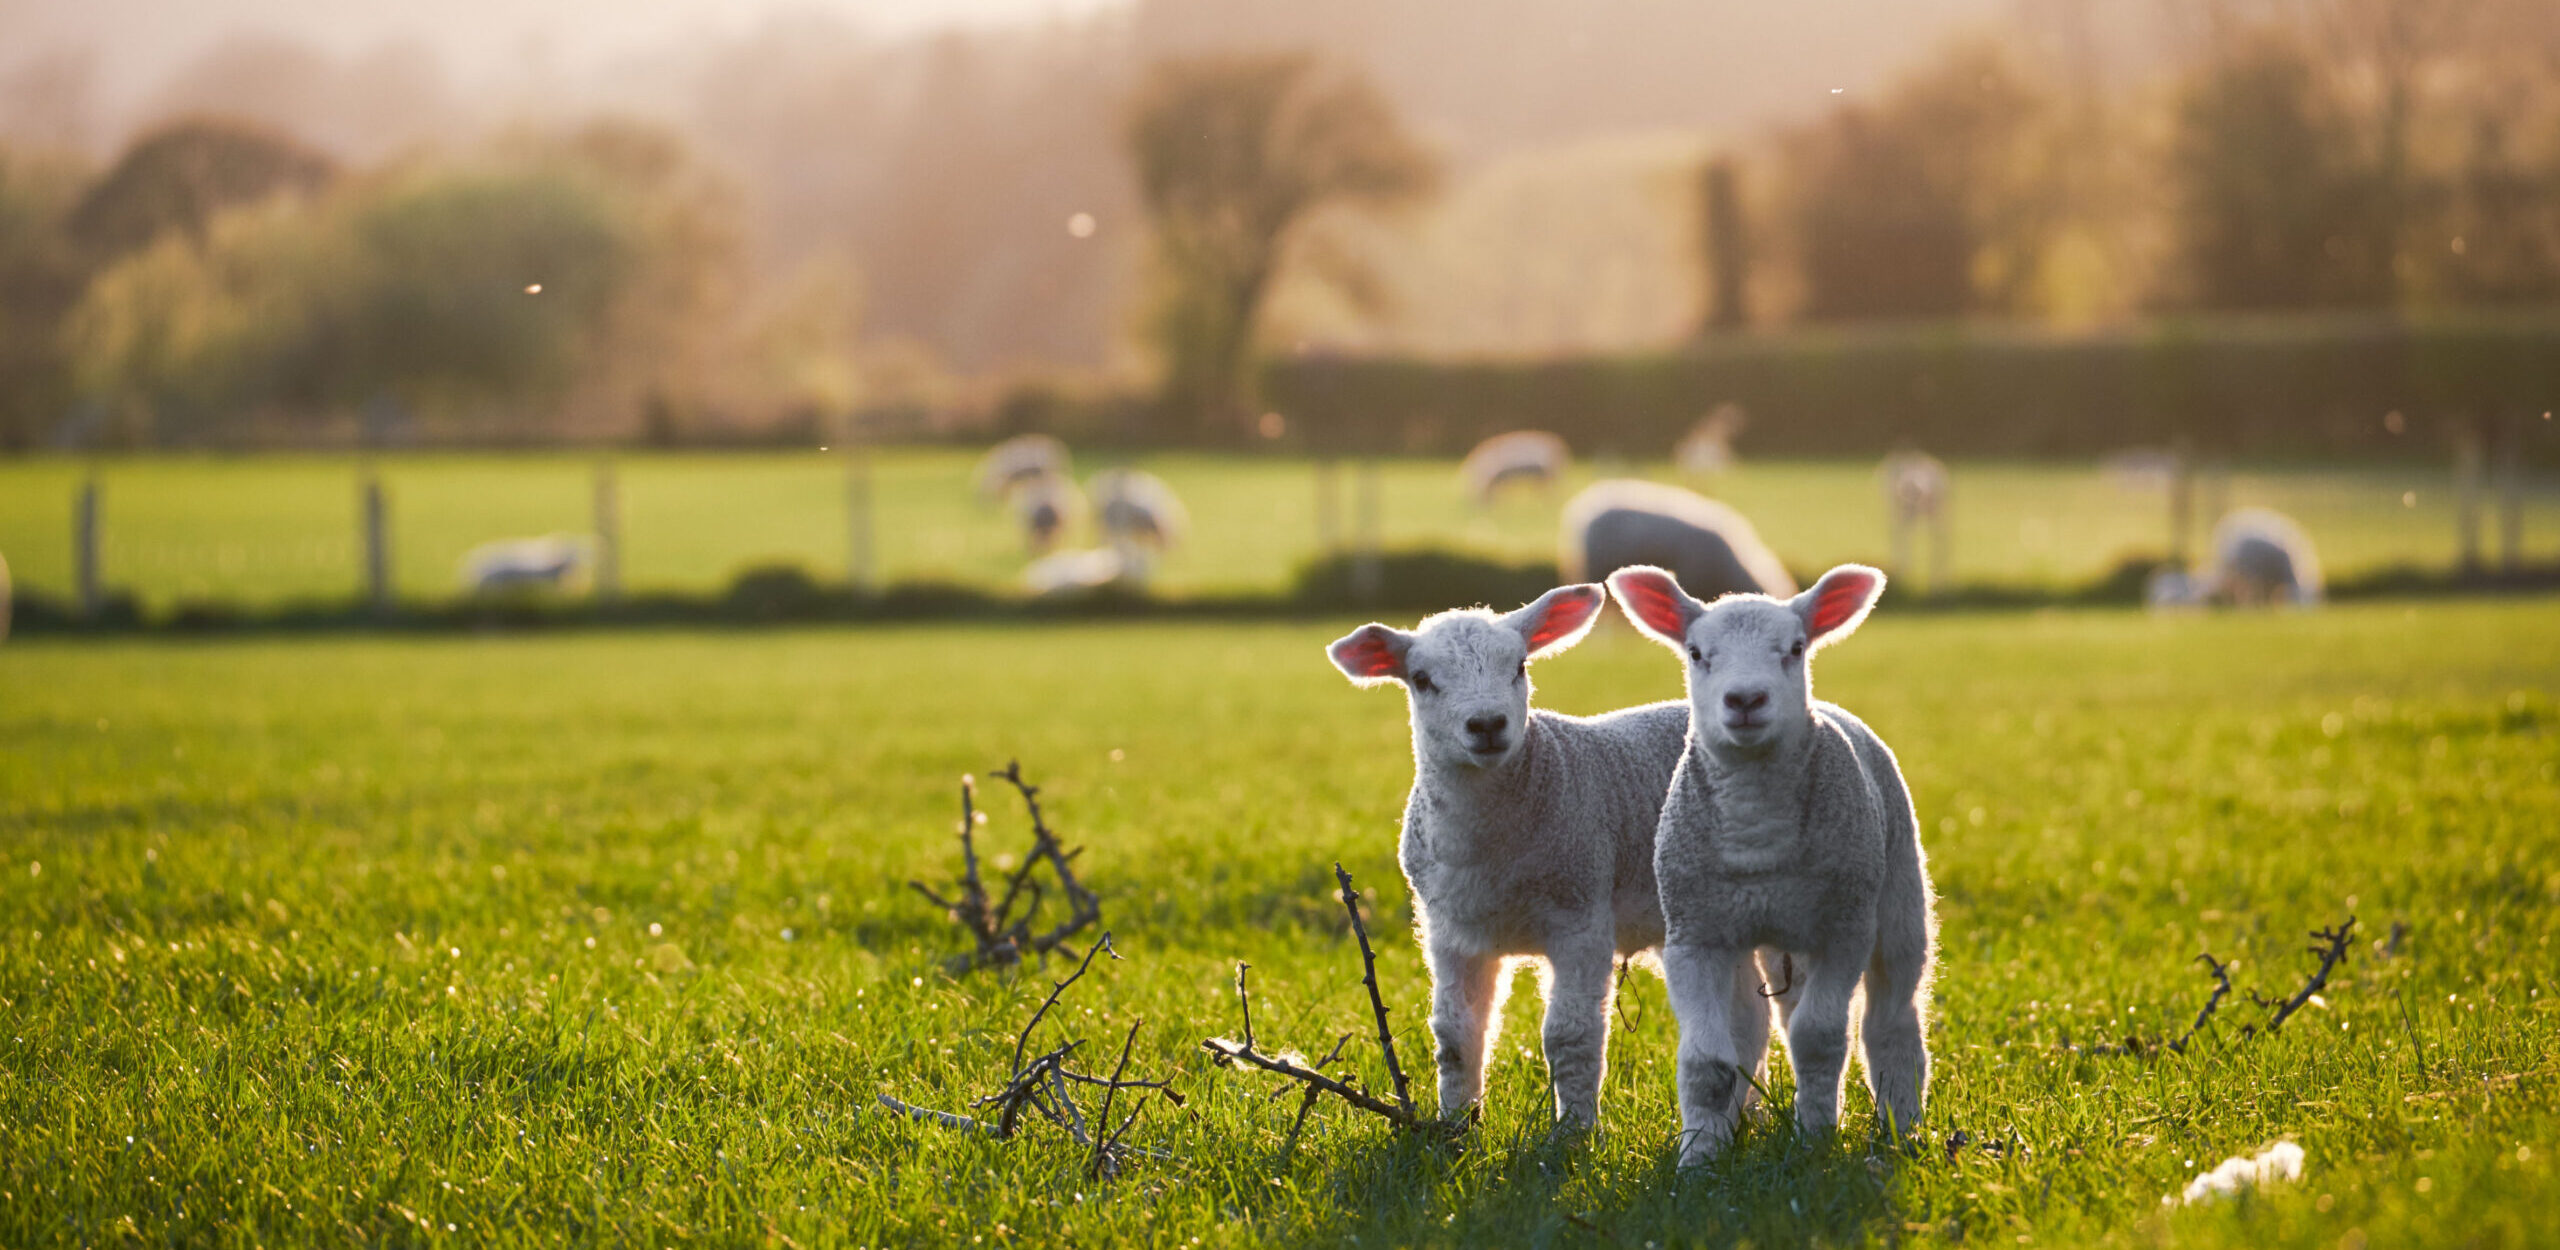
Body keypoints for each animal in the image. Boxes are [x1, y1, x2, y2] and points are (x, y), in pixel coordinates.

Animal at [1327, 586, 1786, 1131]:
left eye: (1519, 665)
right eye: (1421, 679)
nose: (1487, 725)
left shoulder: (1580, 915)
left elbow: (1571, 1036)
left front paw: (1574, 1134)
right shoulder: (1450, 933)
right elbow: (1456, 1036)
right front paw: (1455, 1126)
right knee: (1749, 1016)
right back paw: (1750, 1113)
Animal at [1606, 562, 1936, 1165]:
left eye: (1796, 648)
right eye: (1696, 653)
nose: (1745, 699)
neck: (1757, 836)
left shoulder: (1844, 928)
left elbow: (1819, 1040)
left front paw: (1814, 1144)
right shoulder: (1695, 936)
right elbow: (1707, 1061)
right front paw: (1698, 1160)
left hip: (1897, 894)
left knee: (1891, 1021)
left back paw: (1903, 1129)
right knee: (1756, 1024)